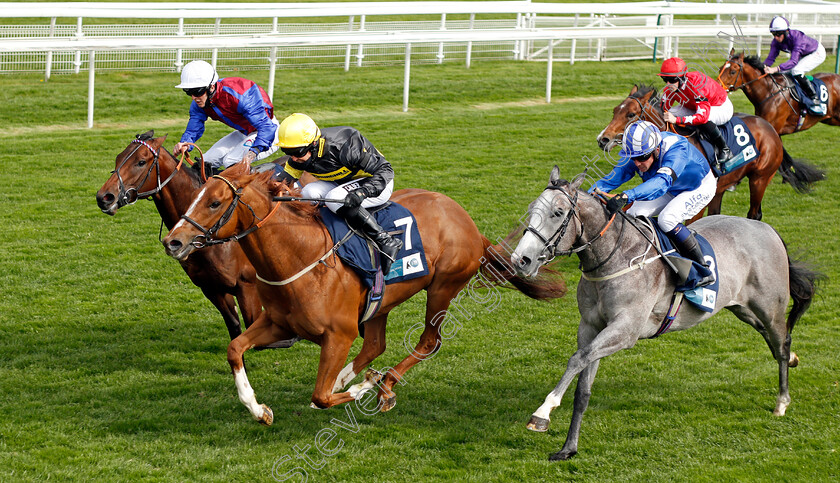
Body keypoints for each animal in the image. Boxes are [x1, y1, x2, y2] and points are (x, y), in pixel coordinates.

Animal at [95, 132, 296, 348]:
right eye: (118, 158)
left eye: (141, 162)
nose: (104, 197)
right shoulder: (211, 288)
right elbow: (235, 328)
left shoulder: (247, 286)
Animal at [159, 163, 564, 424]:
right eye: (196, 195)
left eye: (214, 203)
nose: (173, 241)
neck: (299, 256)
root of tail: (470, 225)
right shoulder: (278, 324)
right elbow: (235, 348)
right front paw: (259, 409)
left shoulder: (338, 335)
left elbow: (320, 397)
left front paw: (368, 385)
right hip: (380, 304)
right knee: (375, 344)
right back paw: (350, 376)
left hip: (443, 287)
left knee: (428, 342)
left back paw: (382, 383)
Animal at [512, 165, 820, 462]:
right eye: (531, 208)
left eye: (557, 212)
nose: (520, 260)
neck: (615, 258)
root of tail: (768, 229)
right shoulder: (591, 326)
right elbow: (582, 385)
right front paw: (568, 448)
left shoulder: (626, 330)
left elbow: (577, 359)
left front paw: (542, 413)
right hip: (741, 307)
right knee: (773, 339)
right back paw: (793, 361)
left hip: (770, 306)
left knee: (781, 341)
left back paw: (782, 400)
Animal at [592, 85, 824, 221]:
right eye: (615, 110)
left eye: (631, 114)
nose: (603, 139)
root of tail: (770, 129)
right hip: (721, 189)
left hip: (760, 178)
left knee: (755, 213)